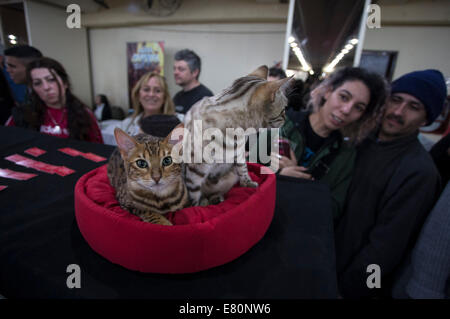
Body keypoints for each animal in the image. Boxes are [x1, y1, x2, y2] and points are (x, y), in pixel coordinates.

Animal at [183, 65, 292, 206]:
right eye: (283, 110)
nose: (286, 119)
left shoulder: (239, 152)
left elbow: (243, 169)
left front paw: (247, 183)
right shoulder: (195, 170)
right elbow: (194, 197)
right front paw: (196, 208)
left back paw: (216, 198)